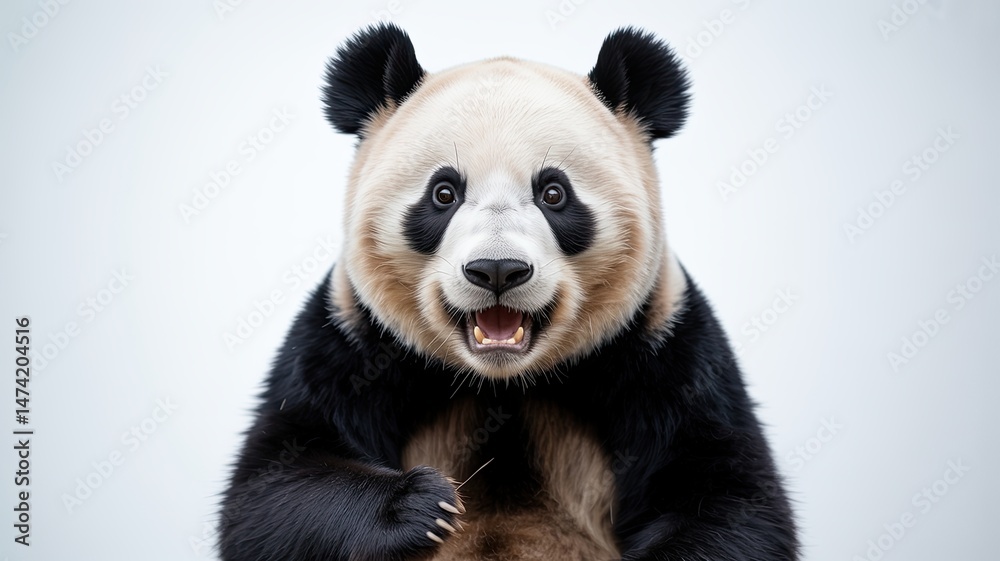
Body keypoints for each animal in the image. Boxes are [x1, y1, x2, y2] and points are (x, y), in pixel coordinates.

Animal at [218, 23, 798, 561]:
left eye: (554, 193)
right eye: (443, 193)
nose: (497, 270)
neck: (501, 384)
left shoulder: (663, 346)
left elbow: (727, 498)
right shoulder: (353, 338)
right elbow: (271, 487)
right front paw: (421, 504)